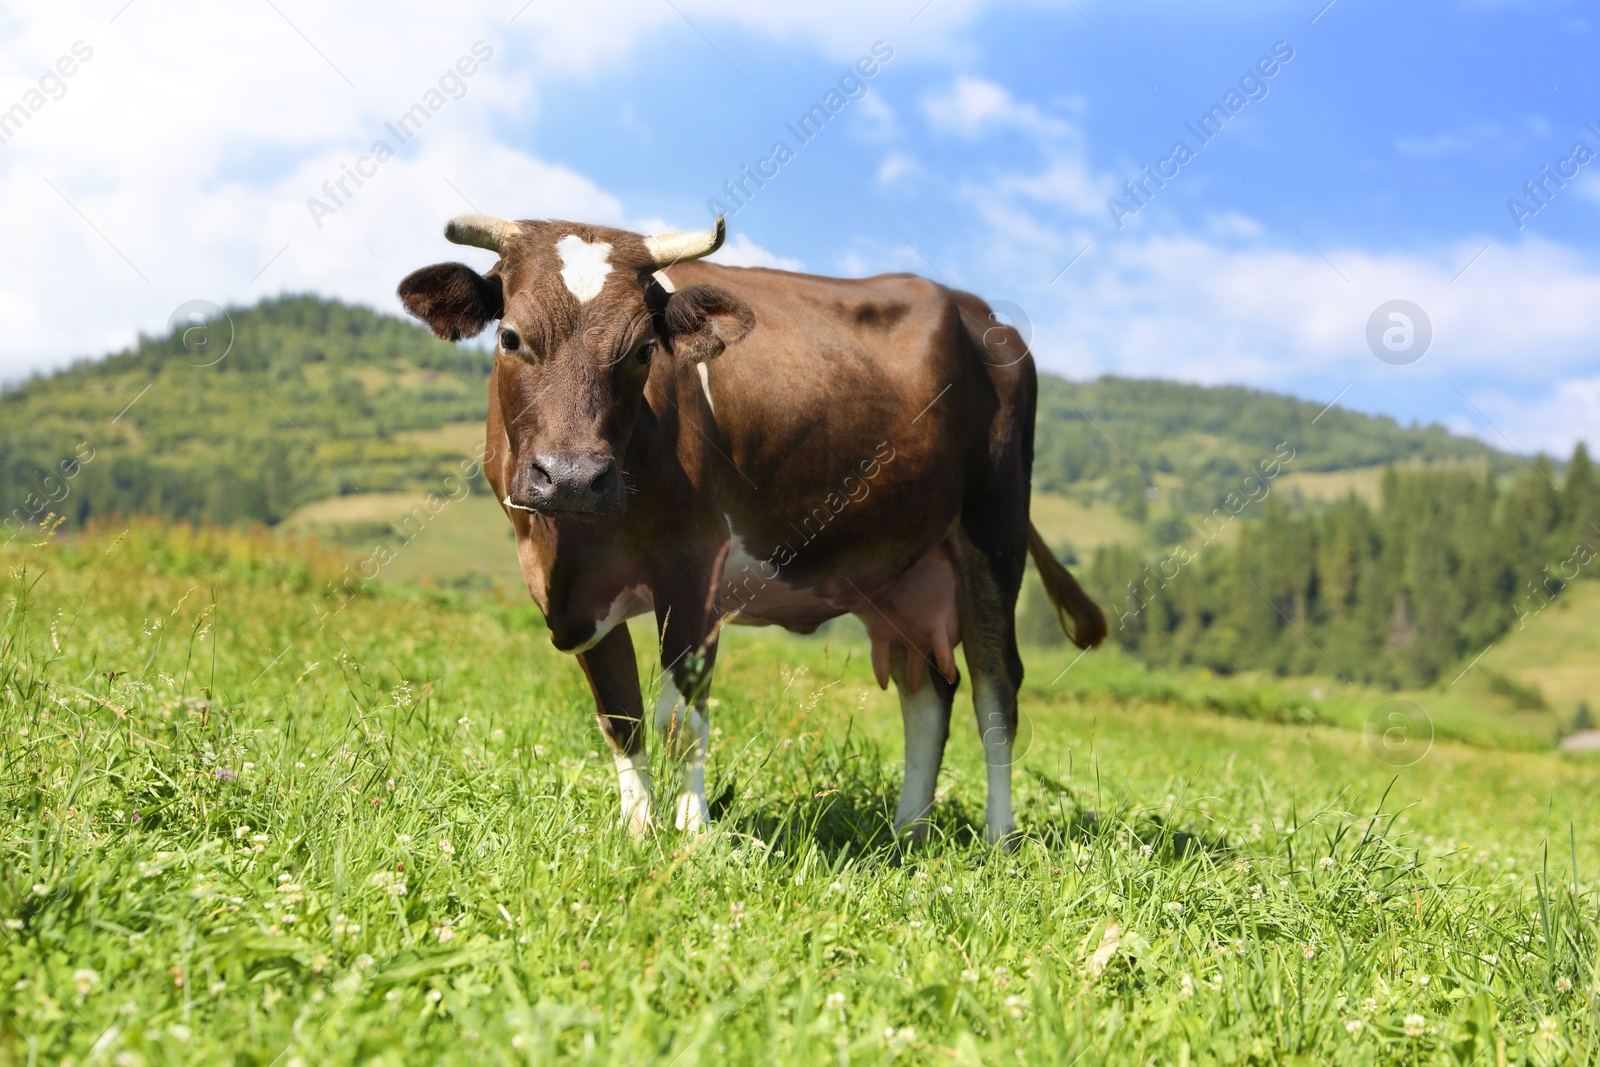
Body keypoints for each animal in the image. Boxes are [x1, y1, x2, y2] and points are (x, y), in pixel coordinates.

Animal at [398, 217, 1100, 844]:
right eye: (511, 337)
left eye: (643, 350)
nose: (572, 477)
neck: (570, 543)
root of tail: (978, 311)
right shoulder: (573, 592)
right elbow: (621, 716)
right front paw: (636, 832)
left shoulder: (694, 565)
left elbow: (682, 718)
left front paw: (693, 832)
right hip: (904, 573)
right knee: (928, 690)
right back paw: (908, 831)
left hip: (993, 531)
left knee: (996, 690)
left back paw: (999, 837)